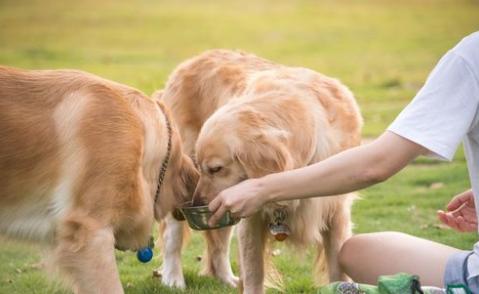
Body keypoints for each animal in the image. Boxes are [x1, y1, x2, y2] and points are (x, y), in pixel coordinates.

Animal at [156, 48, 362, 292]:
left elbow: (339, 272)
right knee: (173, 236)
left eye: (216, 169)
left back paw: (227, 279)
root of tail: (193, 59)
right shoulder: (250, 219)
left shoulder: (336, 214)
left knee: (218, 245)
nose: (196, 203)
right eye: (201, 167)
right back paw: (173, 278)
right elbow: (254, 273)